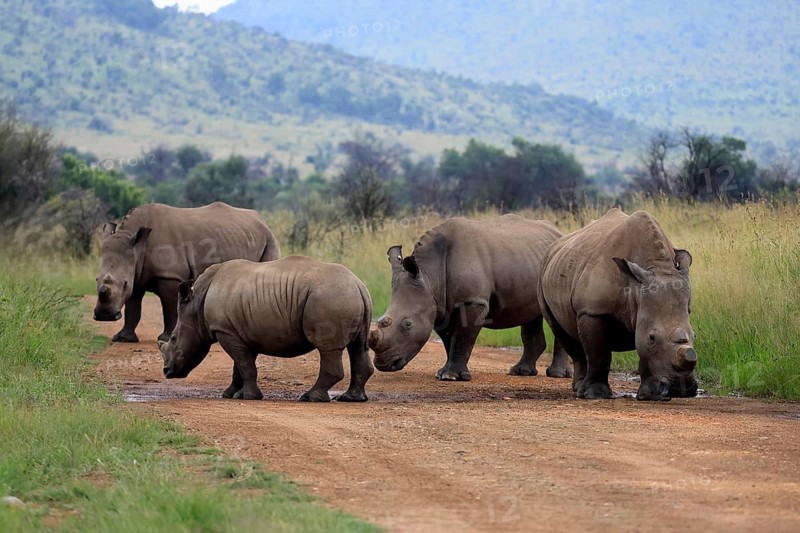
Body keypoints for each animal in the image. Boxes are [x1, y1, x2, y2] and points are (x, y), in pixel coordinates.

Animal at [93, 202, 280, 343]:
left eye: (124, 284)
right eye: (96, 280)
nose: (104, 316)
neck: (137, 247)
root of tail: (263, 221)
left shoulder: (169, 276)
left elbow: (168, 309)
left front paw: (165, 338)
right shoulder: (137, 275)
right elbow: (133, 307)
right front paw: (123, 338)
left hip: (269, 239)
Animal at [158, 257, 374, 402]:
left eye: (174, 339)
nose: (166, 371)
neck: (196, 305)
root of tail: (358, 284)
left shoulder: (225, 330)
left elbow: (244, 365)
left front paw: (247, 397)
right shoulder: (238, 332)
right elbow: (240, 365)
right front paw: (230, 394)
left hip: (329, 297)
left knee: (328, 349)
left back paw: (310, 397)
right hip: (344, 296)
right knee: (357, 346)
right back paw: (351, 398)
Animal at [368, 215, 572, 381]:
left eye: (408, 324)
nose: (383, 365)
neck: (430, 275)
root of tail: (560, 233)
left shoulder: (473, 301)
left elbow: (462, 337)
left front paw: (451, 376)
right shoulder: (440, 306)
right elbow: (449, 339)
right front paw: (443, 373)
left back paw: (557, 375)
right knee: (530, 315)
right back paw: (520, 372)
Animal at [538, 208, 698, 401]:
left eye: (695, 335)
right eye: (652, 338)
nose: (682, 390)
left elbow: (644, 354)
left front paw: (649, 395)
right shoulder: (592, 311)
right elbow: (599, 355)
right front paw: (595, 394)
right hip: (544, 273)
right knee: (562, 332)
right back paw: (579, 389)